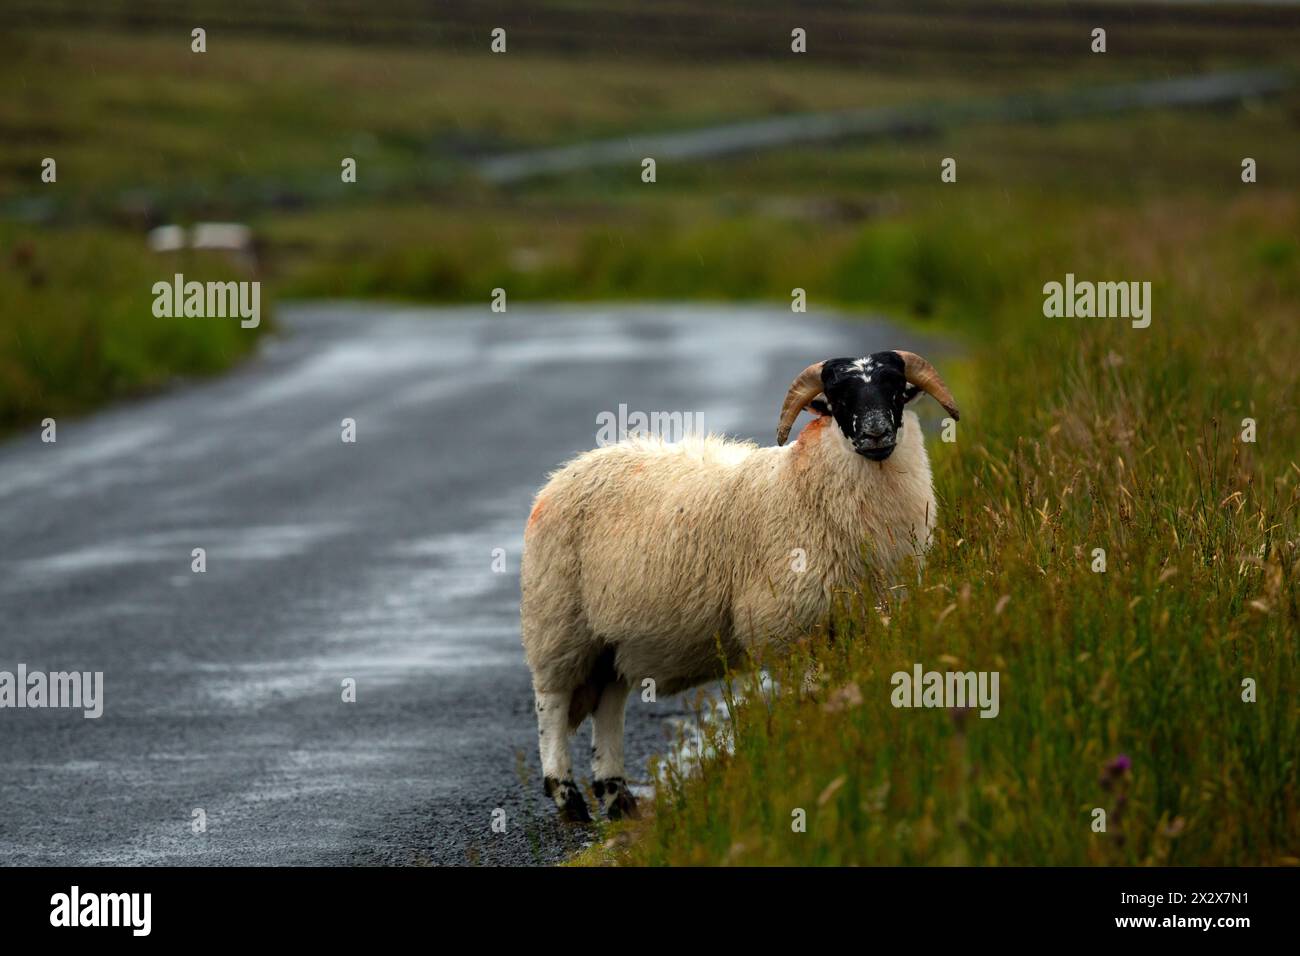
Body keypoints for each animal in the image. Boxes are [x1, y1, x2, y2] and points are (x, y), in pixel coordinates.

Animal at [522, 351, 961, 822]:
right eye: (839, 398)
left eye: (895, 389)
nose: (876, 432)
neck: (803, 483)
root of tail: (565, 472)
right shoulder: (786, 625)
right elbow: (810, 695)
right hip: (559, 622)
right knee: (552, 703)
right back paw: (568, 799)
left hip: (612, 640)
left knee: (608, 704)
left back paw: (618, 799)